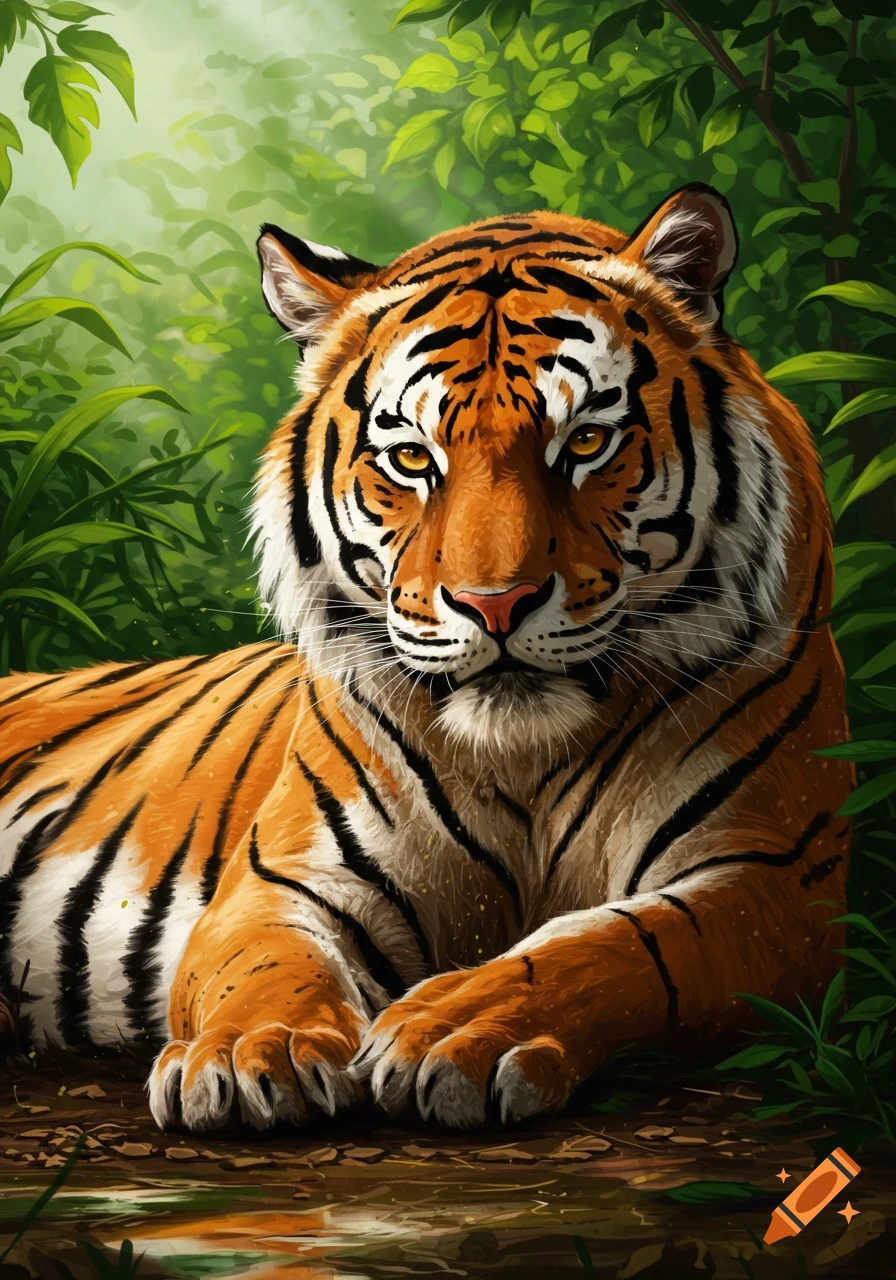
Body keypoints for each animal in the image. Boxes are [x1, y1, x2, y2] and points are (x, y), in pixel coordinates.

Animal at [0, 183, 853, 1134]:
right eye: (412, 457)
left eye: (584, 443)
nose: (496, 604)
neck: (525, 760)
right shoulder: (283, 881)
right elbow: (264, 966)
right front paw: (252, 1053)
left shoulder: (774, 878)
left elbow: (617, 942)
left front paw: (458, 1025)